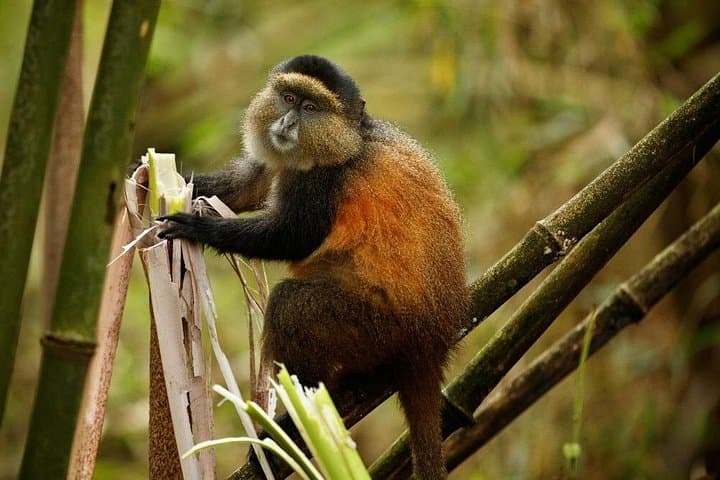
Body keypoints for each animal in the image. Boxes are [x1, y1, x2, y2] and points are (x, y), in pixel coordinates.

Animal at [159, 55, 467, 479]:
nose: (287, 125)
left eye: (310, 108)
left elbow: (294, 236)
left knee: (292, 306)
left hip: (377, 328)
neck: (353, 138)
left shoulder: (323, 179)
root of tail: (431, 344)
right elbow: (249, 184)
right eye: (288, 98)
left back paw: (293, 426)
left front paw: (200, 228)